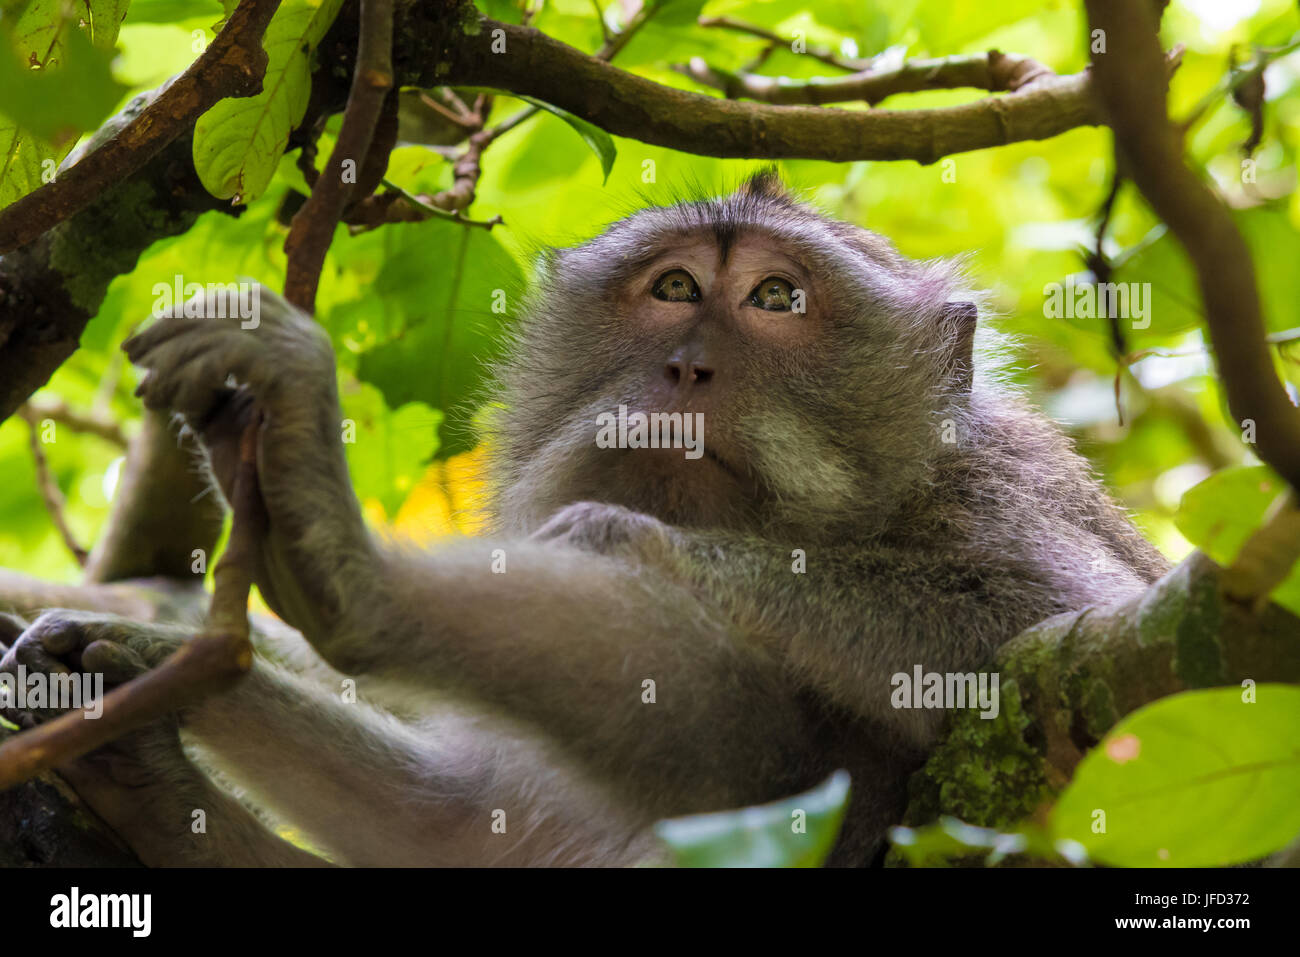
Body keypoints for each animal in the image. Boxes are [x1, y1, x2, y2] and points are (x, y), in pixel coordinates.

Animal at [0, 171, 1168, 866]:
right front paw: (146, 691)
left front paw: (624, 538)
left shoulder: (999, 499)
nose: (689, 365)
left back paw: (344, 572)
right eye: (676, 286)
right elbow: (451, 830)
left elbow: (1042, 642)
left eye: (777, 300)